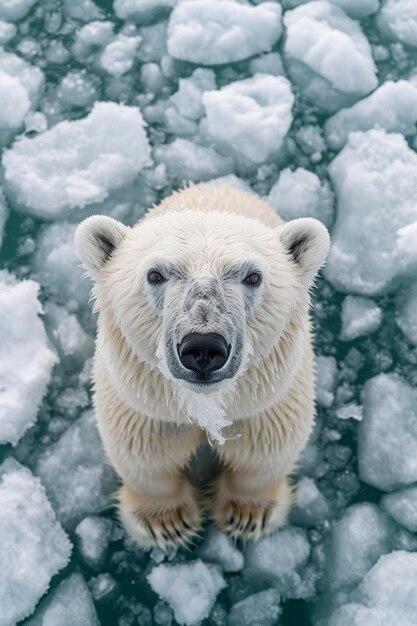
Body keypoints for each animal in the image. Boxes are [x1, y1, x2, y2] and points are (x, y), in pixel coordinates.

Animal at [74, 184, 328, 544]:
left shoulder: (267, 401)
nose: (204, 347)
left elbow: (267, 450)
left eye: (253, 277)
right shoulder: (143, 405)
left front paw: (248, 514)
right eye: (155, 274)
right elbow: (143, 455)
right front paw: (167, 522)